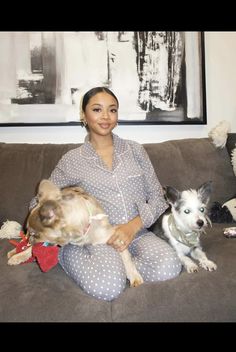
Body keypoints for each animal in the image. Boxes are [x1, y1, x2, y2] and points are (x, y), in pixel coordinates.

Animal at [10, 180, 143, 288]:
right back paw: (16, 252)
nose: (30, 238)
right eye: (31, 233)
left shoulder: (113, 237)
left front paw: (134, 276)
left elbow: (127, 259)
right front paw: (19, 255)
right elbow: (33, 249)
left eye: (35, 234)